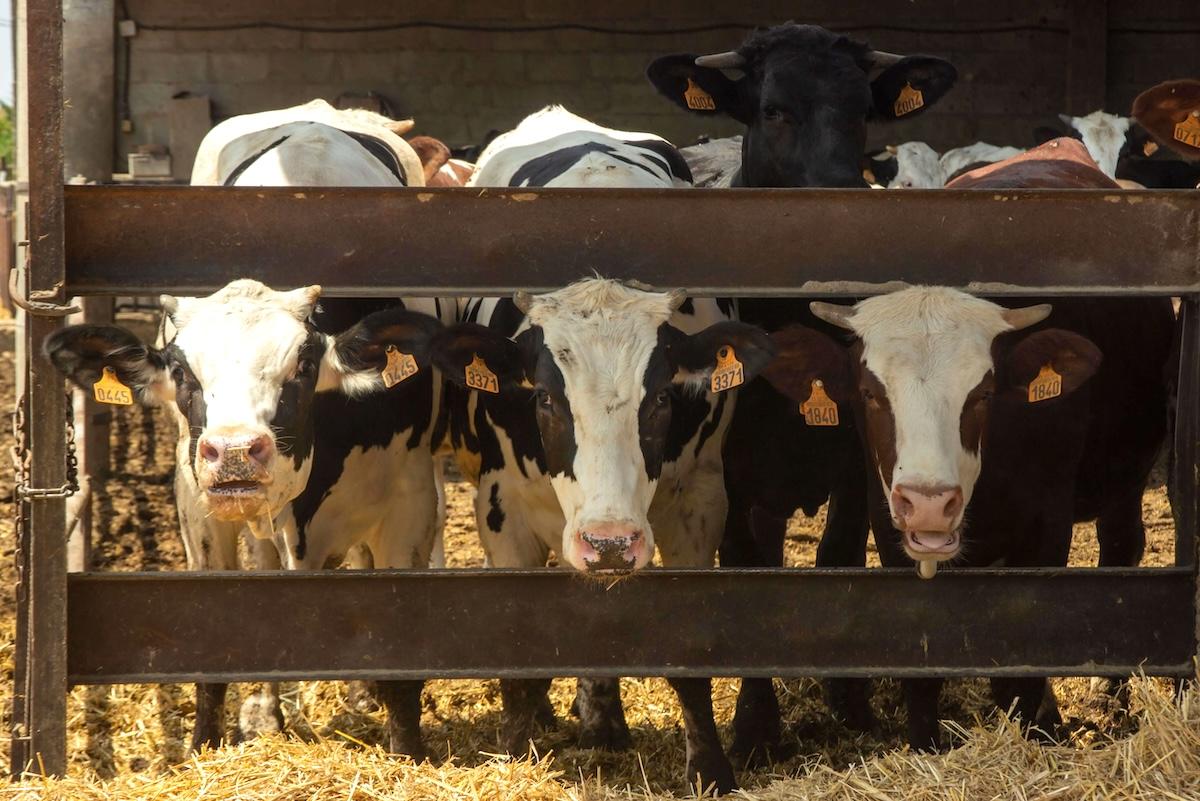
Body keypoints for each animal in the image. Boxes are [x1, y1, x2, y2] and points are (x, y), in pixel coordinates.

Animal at [49, 100, 454, 757]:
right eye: (180, 369)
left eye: (305, 365)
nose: (236, 452)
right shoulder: (197, 501)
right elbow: (232, 620)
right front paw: (208, 739)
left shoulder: (409, 500)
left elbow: (394, 643)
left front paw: (406, 749)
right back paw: (269, 706)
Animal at [647, 21, 957, 754]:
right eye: (774, 110)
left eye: (863, 110)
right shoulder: (730, 474)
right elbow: (749, 570)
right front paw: (756, 725)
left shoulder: (857, 459)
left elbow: (844, 555)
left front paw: (854, 702)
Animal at [756, 139, 1174, 750]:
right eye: (869, 393)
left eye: (984, 393)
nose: (931, 502)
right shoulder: (891, 528)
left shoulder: (1046, 528)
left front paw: (1038, 729)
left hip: (1125, 480)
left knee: (1122, 553)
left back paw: (1110, 700)